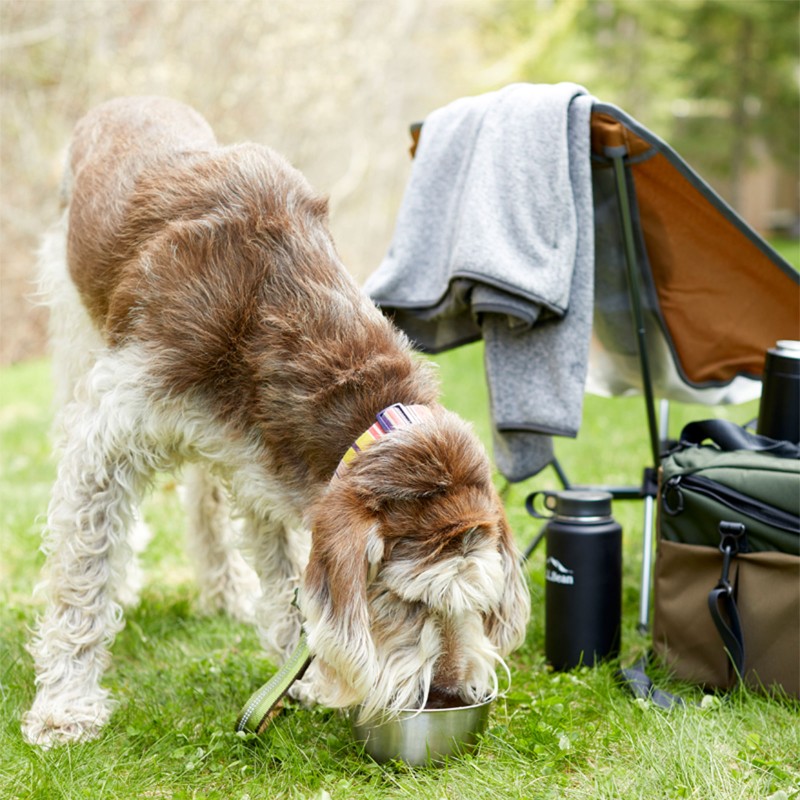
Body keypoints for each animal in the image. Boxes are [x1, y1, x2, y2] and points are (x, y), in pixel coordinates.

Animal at [21, 97, 532, 748]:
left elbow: (289, 574)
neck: (269, 306)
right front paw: (66, 704)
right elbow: (81, 580)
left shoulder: (262, 459)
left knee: (205, 498)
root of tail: (129, 99)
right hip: (75, 333)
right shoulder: (108, 442)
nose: (446, 696)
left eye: (477, 603)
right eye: (407, 603)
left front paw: (301, 677)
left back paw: (226, 590)